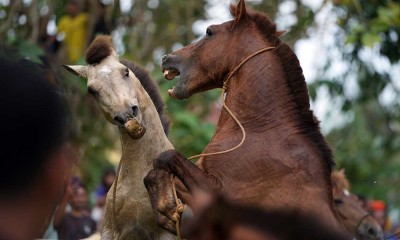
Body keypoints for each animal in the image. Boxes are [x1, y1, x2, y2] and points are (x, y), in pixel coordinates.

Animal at [145, 0, 346, 236]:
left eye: (209, 31)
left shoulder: (217, 193)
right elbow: (153, 174)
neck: (261, 130)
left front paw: (169, 211)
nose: (166, 58)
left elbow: (165, 158)